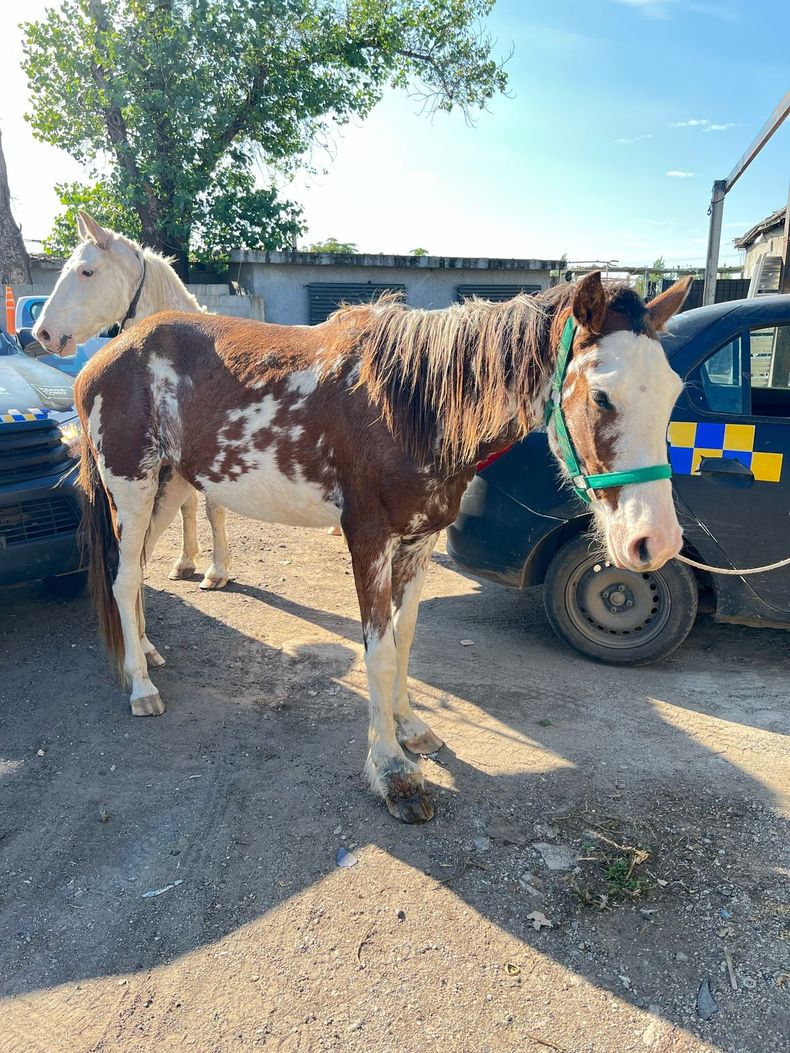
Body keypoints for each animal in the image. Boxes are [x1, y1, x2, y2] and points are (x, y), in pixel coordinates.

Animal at [32, 211, 233, 590]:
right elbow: (187, 506)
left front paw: (217, 571)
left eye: (87, 271)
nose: (42, 334)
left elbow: (213, 508)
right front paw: (186, 562)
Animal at [73, 271, 691, 822]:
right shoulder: (368, 539)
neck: (410, 404)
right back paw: (141, 687)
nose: (655, 542)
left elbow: (404, 639)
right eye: (603, 397)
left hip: (170, 485)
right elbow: (378, 651)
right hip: (132, 487)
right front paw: (392, 770)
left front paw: (411, 727)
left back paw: (145, 654)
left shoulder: (418, 542)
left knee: (137, 575)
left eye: (674, 394)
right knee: (124, 579)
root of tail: (104, 356)